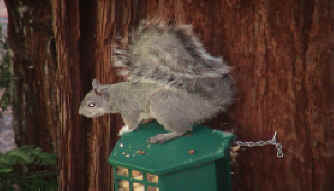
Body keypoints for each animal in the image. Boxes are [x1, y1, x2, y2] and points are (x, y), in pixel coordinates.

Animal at [79, 20, 235, 143]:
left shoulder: (129, 109)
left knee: (183, 130)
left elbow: (132, 123)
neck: (113, 95)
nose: (81, 114)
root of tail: (206, 105)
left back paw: (163, 137)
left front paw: (125, 130)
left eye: (91, 104)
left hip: (162, 106)